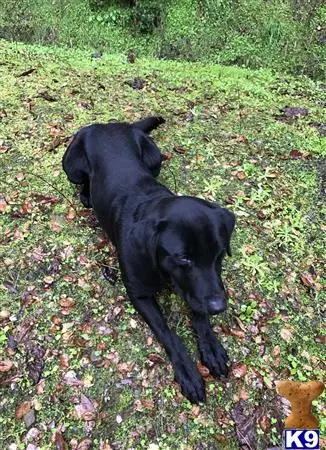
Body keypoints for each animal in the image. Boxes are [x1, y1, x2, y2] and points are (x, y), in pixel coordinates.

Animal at [61, 117, 234, 404]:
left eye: (219, 253)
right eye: (183, 257)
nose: (219, 307)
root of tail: (111, 124)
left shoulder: (199, 289)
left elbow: (199, 311)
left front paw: (210, 345)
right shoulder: (139, 294)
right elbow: (167, 332)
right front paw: (187, 371)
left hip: (155, 158)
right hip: (71, 166)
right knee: (82, 180)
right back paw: (86, 195)